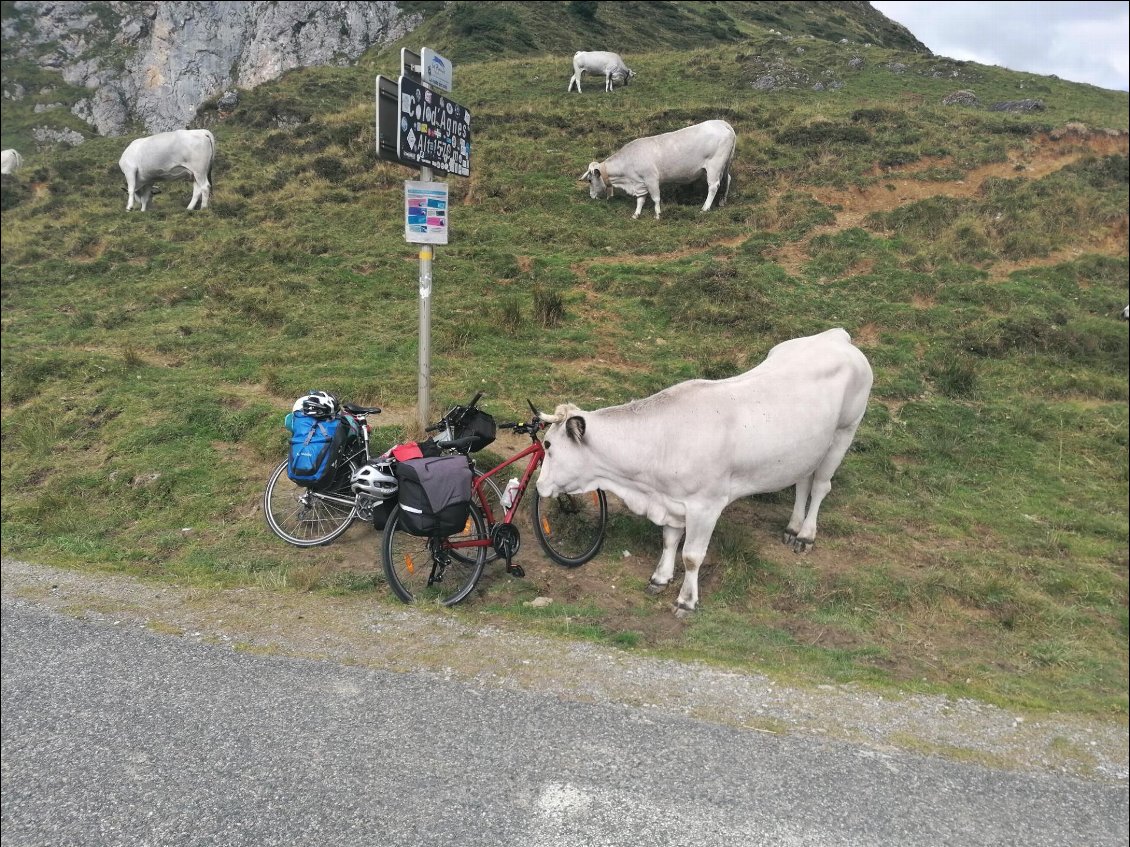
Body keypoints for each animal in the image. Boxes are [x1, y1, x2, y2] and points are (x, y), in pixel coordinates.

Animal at [537, 329, 872, 618]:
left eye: (548, 445)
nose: (539, 486)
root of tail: (834, 336)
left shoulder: (706, 506)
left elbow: (692, 555)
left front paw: (686, 601)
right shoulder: (672, 500)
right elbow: (670, 540)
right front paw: (660, 578)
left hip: (844, 432)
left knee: (820, 486)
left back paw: (805, 534)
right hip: (807, 449)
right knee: (803, 481)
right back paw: (792, 527)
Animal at [578, 119, 736, 220]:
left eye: (590, 180)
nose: (591, 196)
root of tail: (721, 123)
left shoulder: (651, 178)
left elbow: (655, 197)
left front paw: (658, 214)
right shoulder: (639, 183)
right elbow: (640, 199)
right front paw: (636, 214)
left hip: (714, 165)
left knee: (713, 186)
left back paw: (705, 208)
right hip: (725, 164)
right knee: (727, 179)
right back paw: (722, 201)